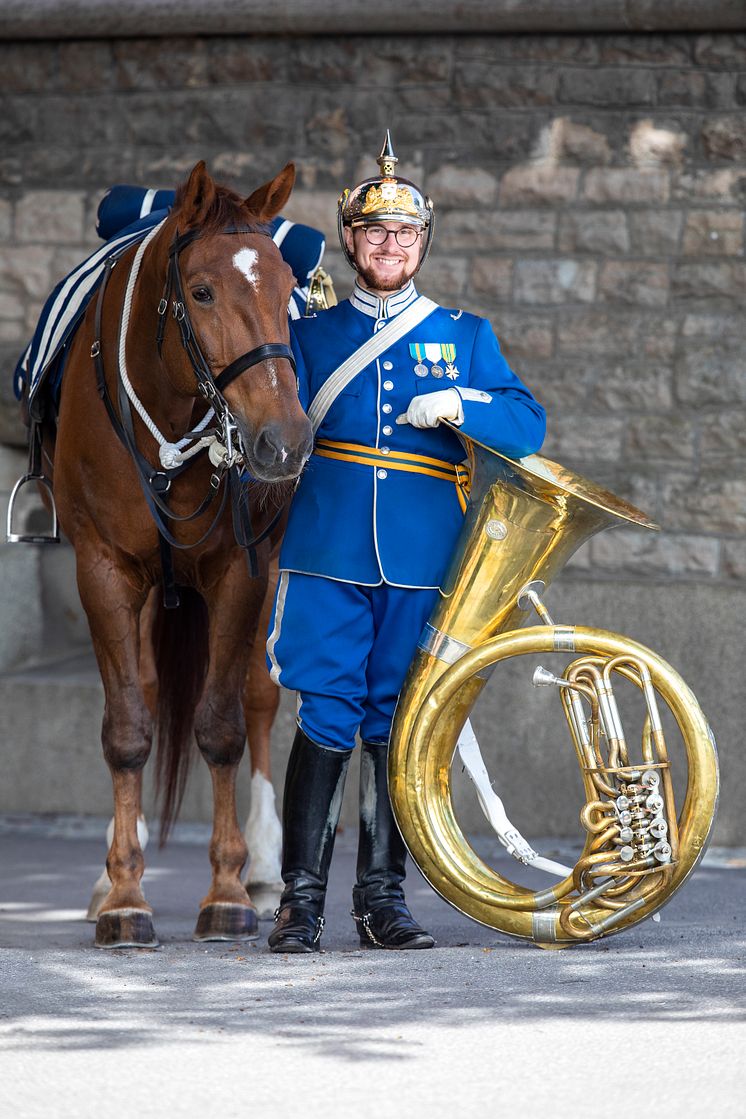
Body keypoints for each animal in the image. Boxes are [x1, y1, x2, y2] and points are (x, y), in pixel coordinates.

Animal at [49, 162, 313, 948]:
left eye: (287, 288)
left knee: (257, 698)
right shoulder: (102, 569)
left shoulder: (238, 571)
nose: (284, 440)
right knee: (143, 688)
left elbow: (222, 725)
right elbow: (128, 725)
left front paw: (226, 888)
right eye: (201, 292)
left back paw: (263, 864)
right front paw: (124, 893)